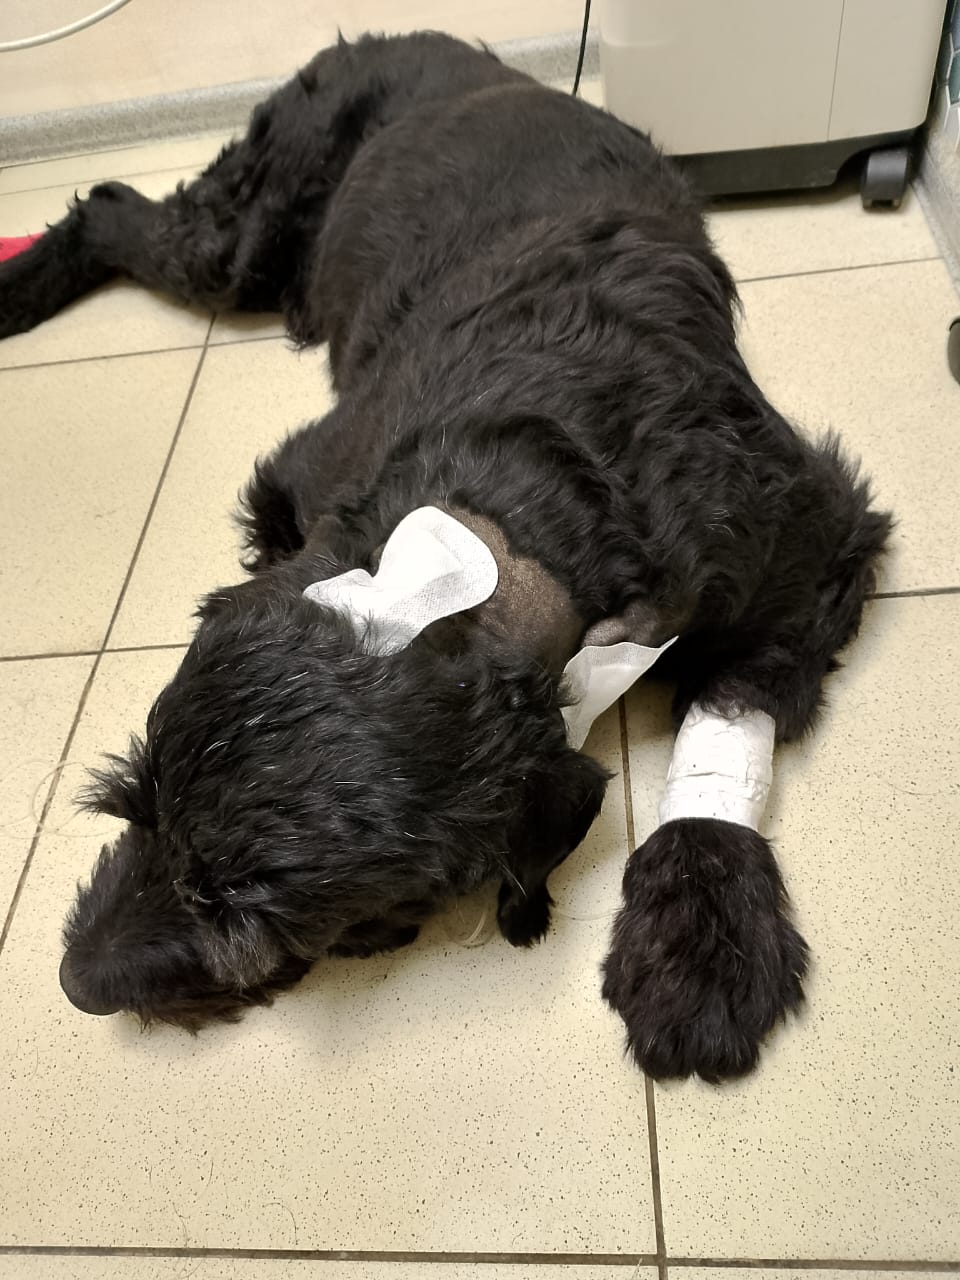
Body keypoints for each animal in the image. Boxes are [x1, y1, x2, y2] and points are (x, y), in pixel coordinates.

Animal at [0, 32, 891, 1081]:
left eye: (248, 918)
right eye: (138, 796)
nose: (73, 982)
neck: (516, 523)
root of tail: (420, 39)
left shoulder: (815, 545)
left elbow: (728, 711)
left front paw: (702, 940)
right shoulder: (297, 482)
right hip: (245, 237)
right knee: (110, 207)